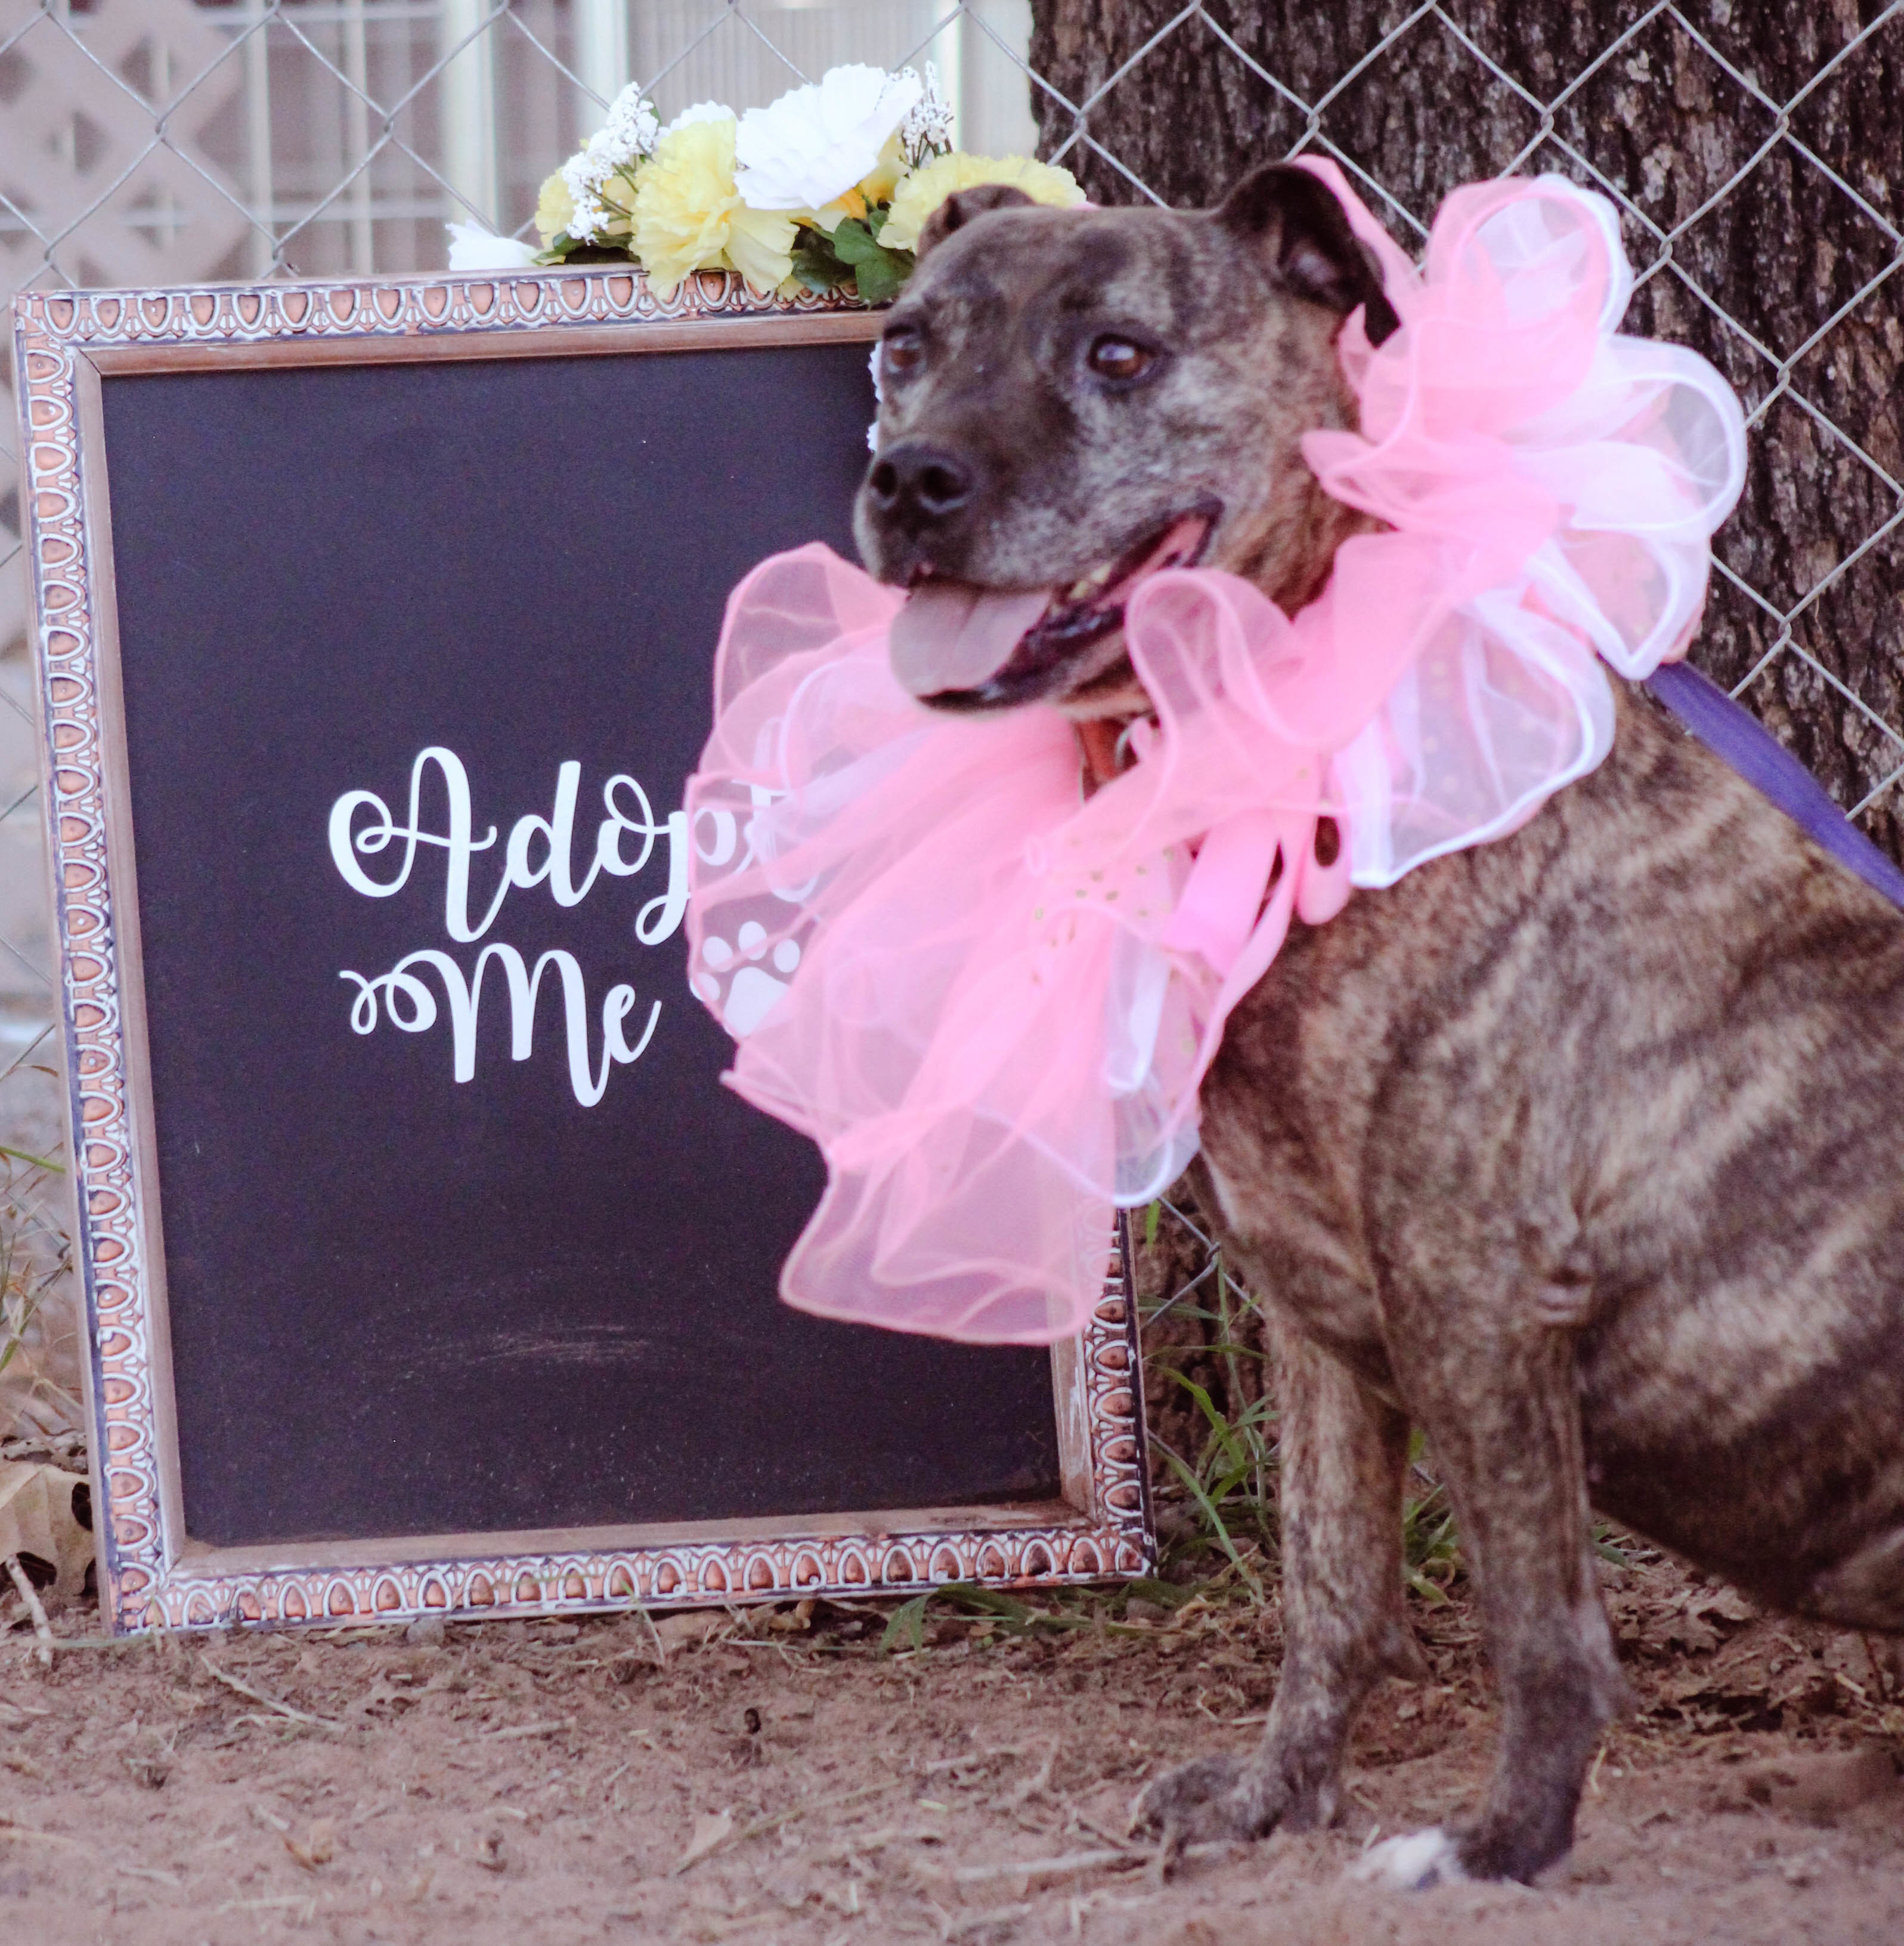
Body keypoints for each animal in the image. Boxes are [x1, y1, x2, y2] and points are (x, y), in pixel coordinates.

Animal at [856, 163, 1904, 1883]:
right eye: (902, 346)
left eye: (1120, 353)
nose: (910, 477)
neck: (1278, 720)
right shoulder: (1323, 1313)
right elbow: (1331, 1583)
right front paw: (1271, 1795)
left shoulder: (1476, 1291)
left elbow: (1540, 1624)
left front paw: (1502, 1846)